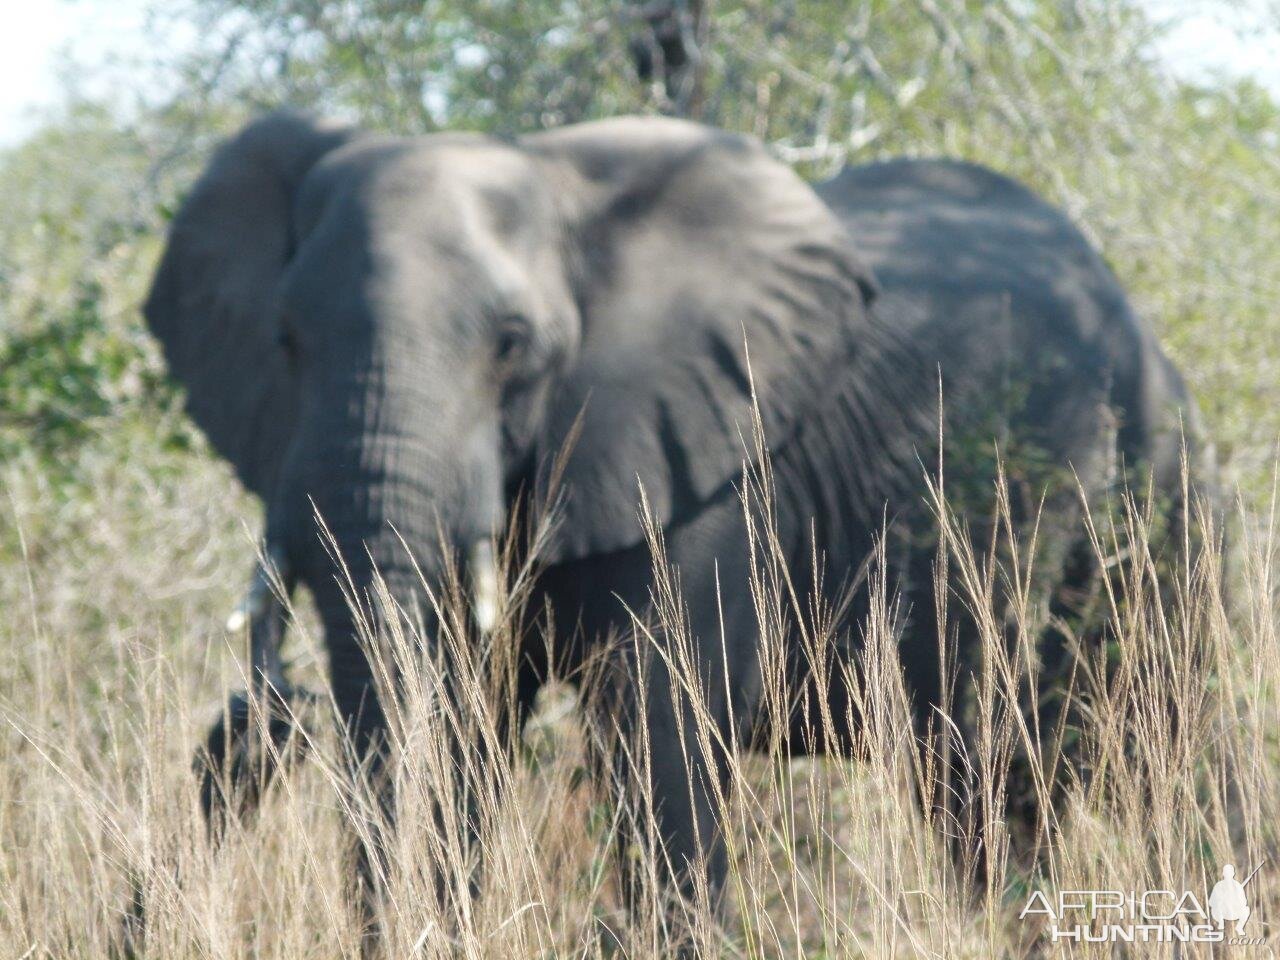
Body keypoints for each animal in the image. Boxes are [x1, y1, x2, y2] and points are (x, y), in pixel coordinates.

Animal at [145, 110, 1203, 942]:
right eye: (285, 340)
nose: (264, 710)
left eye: (513, 344)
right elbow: (458, 725)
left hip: (1156, 487)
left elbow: (662, 734)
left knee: (1162, 750)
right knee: (992, 787)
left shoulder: (715, 475)